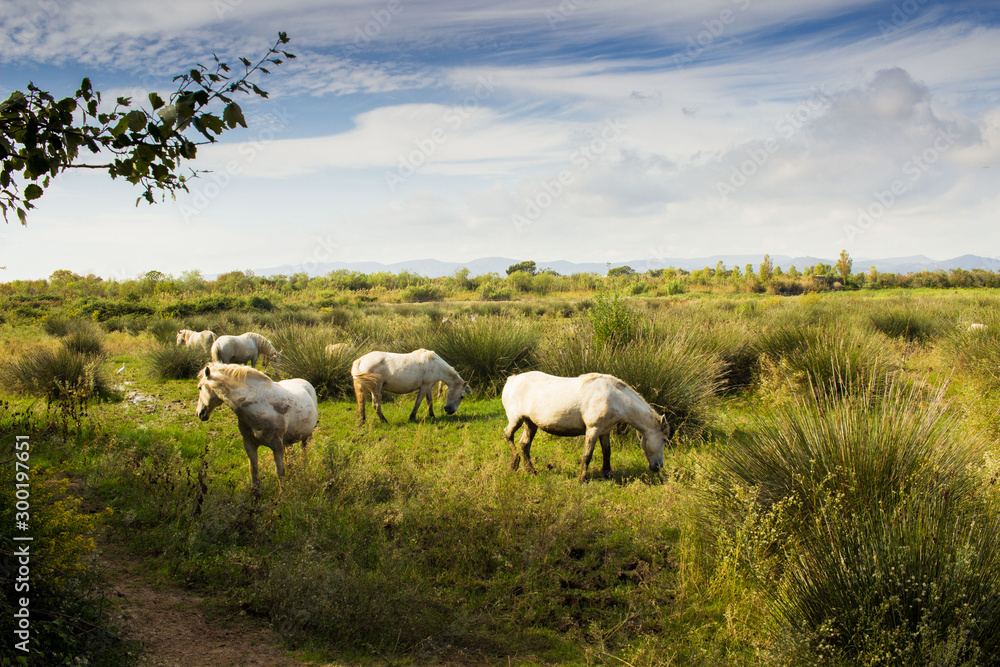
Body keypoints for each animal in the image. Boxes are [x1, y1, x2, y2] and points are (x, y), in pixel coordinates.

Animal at [195, 363, 318, 492]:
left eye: (199, 387)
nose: (199, 413)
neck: (259, 405)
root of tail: (305, 382)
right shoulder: (249, 444)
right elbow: (253, 471)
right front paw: (255, 494)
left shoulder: (277, 446)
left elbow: (280, 472)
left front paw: (282, 493)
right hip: (288, 439)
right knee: (290, 454)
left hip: (305, 436)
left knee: (304, 452)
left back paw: (303, 468)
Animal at [501, 371, 671, 481]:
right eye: (664, 440)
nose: (658, 466)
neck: (615, 398)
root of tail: (512, 380)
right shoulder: (593, 429)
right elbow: (587, 455)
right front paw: (582, 479)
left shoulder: (604, 431)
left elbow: (607, 452)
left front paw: (608, 474)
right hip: (516, 420)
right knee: (508, 434)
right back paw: (514, 463)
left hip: (530, 423)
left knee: (524, 444)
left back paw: (531, 470)